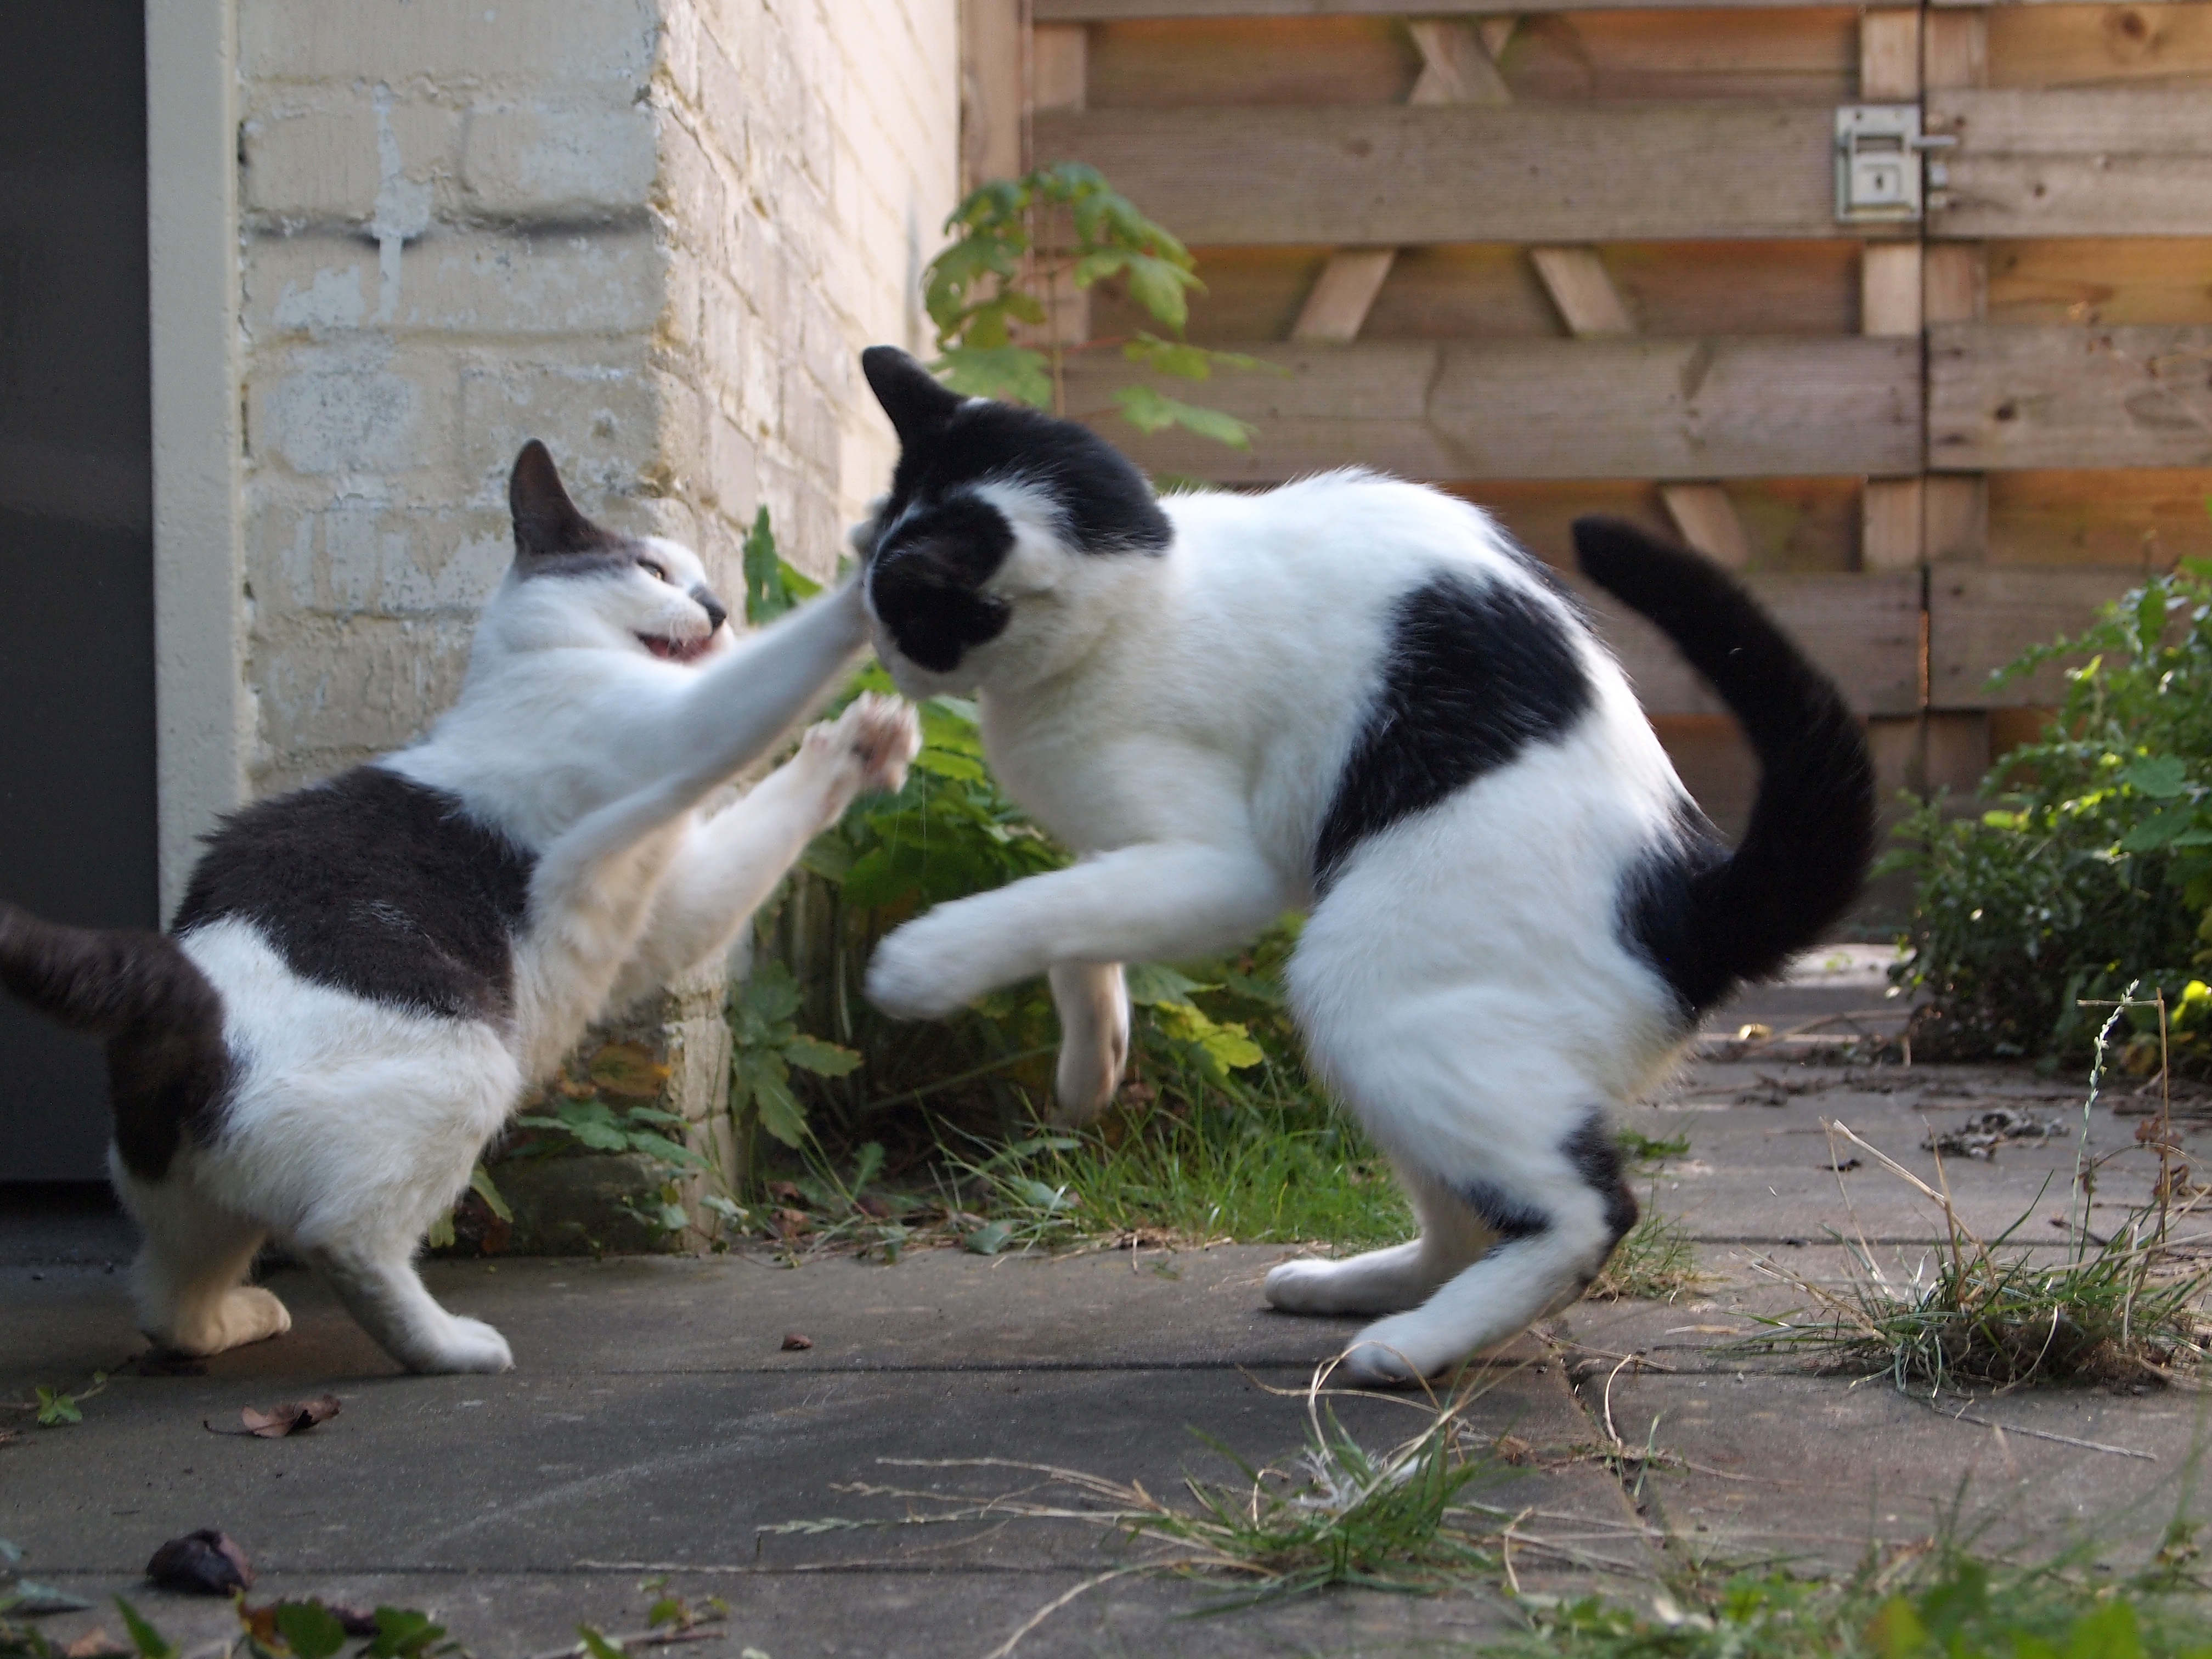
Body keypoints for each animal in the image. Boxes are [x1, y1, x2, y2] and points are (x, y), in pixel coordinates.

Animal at [0, 442, 916, 1380]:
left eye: (705, 581)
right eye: (653, 571)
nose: (720, 609)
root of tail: (182, 991)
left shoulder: (666, 910)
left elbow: (755, 839)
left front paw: (859, 747)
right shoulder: (675, 729)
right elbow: (768, 676)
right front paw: (882, 562)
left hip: (194, 1201)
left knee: (166, 1302)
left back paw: (233, 1320)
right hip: (467, 1066)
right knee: (344, 1241)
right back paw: (450, 1347)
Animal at [845, 347, 1867, 1389]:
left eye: (902, 605)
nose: (871, 641)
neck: (1145, 588)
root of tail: (1684, 905)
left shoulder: (1216, 867)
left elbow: (1038, 906)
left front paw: (922, 964)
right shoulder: (1116, 850)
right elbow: (1075, 923)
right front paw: (1093, 1065)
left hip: (1366, 984)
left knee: (1585, 1210)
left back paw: (1411, 1346)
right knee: (1469, 1214)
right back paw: (1362, 1286)